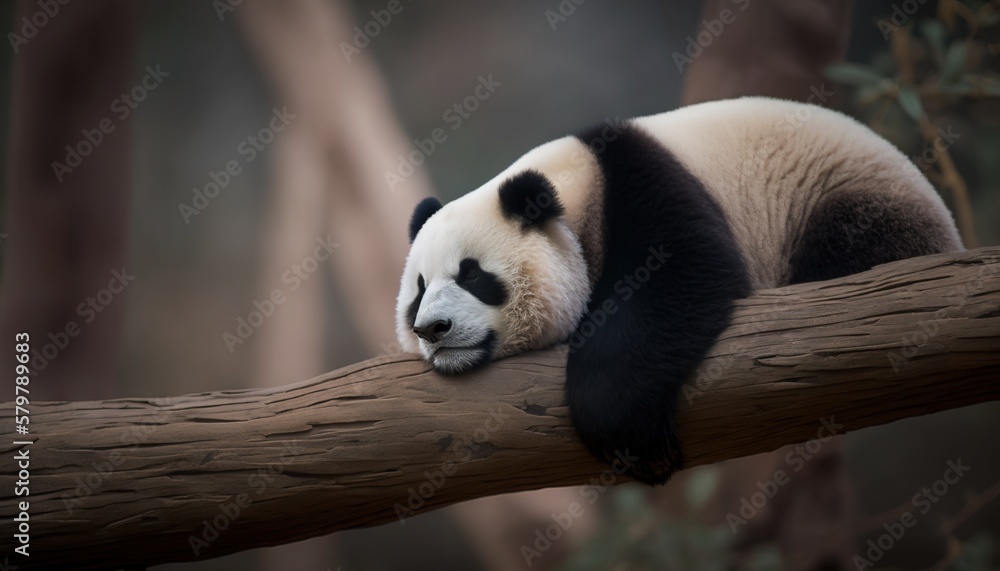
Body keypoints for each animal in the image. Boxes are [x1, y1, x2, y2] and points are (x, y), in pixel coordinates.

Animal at [395, 96, 963, 485]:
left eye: (472, 275)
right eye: (418, 291)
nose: (433, 329)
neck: (576, 191)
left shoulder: (645, 186)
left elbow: (686, 275)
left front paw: (635, 441)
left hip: (848, 200)